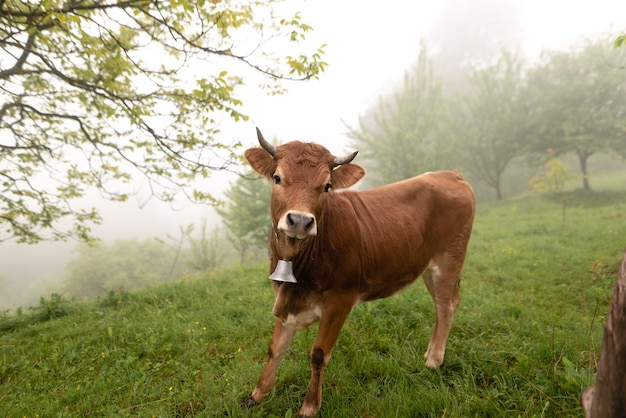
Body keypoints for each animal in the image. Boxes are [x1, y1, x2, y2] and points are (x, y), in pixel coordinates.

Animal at [244, 129, 472, 416]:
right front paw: (257, 394)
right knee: (442, 304)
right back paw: (430, 352)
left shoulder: (339, 302)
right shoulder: (285, 300)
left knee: (446, 304)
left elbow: (318, 354)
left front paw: (309, 406)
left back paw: (433, 360)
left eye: (327, 186)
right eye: (277, 178)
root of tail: (450, 174)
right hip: (427, 267)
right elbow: (276, 347)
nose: (300, 220)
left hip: (449, 260)